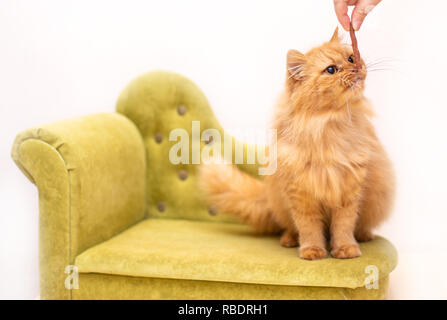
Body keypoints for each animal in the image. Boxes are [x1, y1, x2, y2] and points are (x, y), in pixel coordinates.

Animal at [200, 28, 396, 260]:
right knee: (290, 227)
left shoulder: (348, 191)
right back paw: (290, 240)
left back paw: (364, 236)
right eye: (331, 70)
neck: (328, 126)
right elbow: (309, 228)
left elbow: (344, 226)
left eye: (350, 58)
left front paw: (345, 249)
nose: (356, 67)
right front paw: (312, 251)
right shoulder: (300, 193)